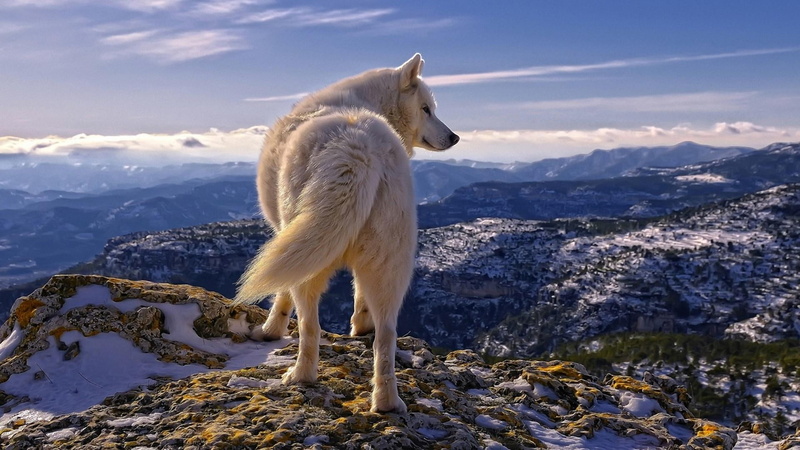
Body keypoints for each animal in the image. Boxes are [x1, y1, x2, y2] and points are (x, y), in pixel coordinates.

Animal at [234, 54, 458, 413]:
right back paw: (386, 401)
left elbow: (281, 295)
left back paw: (300, 376)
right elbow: (359, 295)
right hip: (389, 262)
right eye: (426, 109)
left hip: (311, 258)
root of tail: (358, 148)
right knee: (386, 334)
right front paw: (360, 325)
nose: (454, 137)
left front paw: (270, 331)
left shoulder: (287, 235)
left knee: (310, 325)